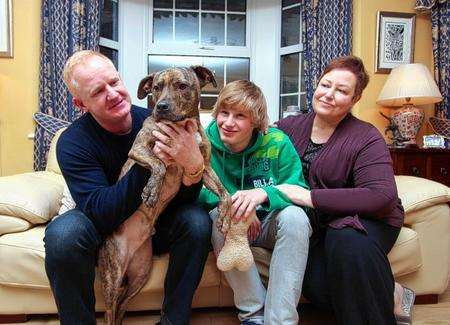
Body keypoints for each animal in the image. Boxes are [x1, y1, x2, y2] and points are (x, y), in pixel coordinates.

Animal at [98, 66, 232, 324]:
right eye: (156, 87)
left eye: (182, 86)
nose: (160, 106)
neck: (182, 126)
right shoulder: (140, 148)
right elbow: (158, 163)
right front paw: (152, 189)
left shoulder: (203, 167)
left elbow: (225, 193)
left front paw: (223, 217)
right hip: (112, 277)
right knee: (110, 310)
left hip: (140, 276)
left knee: (122, 306)